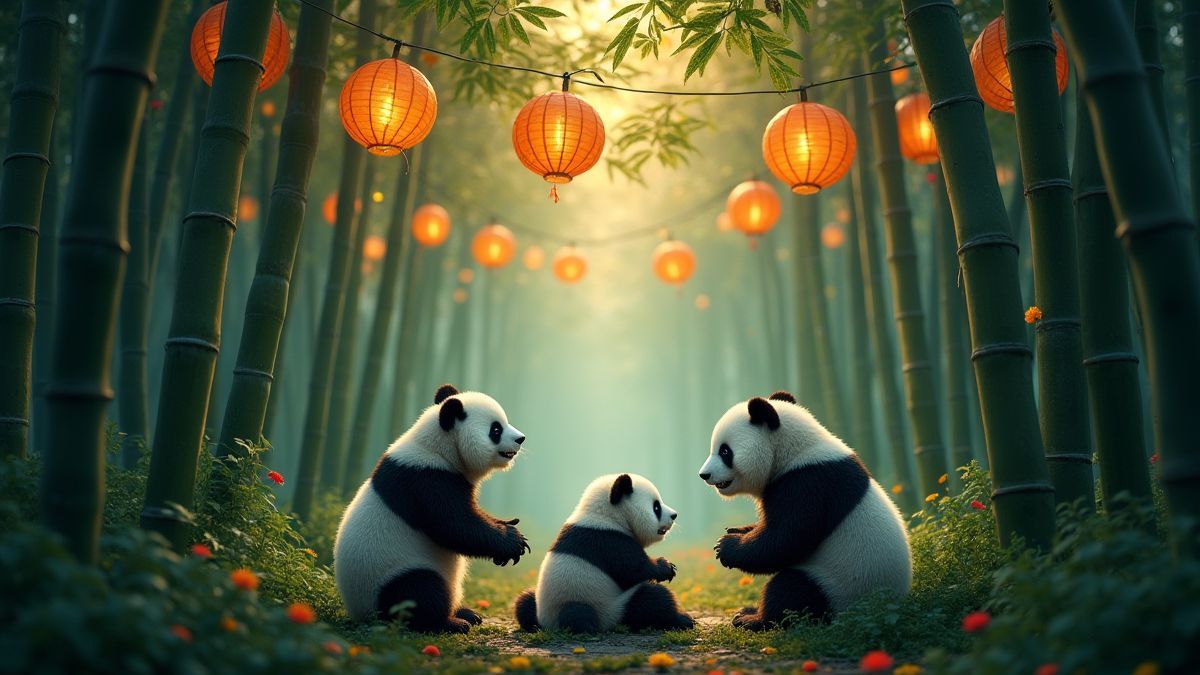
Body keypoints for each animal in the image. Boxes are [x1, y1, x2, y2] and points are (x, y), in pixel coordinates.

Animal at [334, 384, 531, 633]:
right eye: (496, 429)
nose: (520, 438)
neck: (438, 447)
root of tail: (360, 614)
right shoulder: (425, 479)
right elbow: (455, 525)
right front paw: (512, 542)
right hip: (389, 576)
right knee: (420, 591)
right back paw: (451, 623)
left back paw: (467, 613)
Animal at [513, 473, 694, 633]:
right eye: (656, 507)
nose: (674, 515)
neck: (606, 515)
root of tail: (547, 625)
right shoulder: (608, 540)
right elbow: (633, 569)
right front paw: (666, 567)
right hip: (605, 609)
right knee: (650, 601)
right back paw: (681, 620)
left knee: (524, 600)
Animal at [698, 391, 912, 631]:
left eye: (725, 451)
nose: (704, 475)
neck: (795, 449)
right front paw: (738, 530)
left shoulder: (808, 483)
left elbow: (786, 538)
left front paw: (726, 546)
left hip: (842, 585)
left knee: (792, 590)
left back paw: (751, 618)